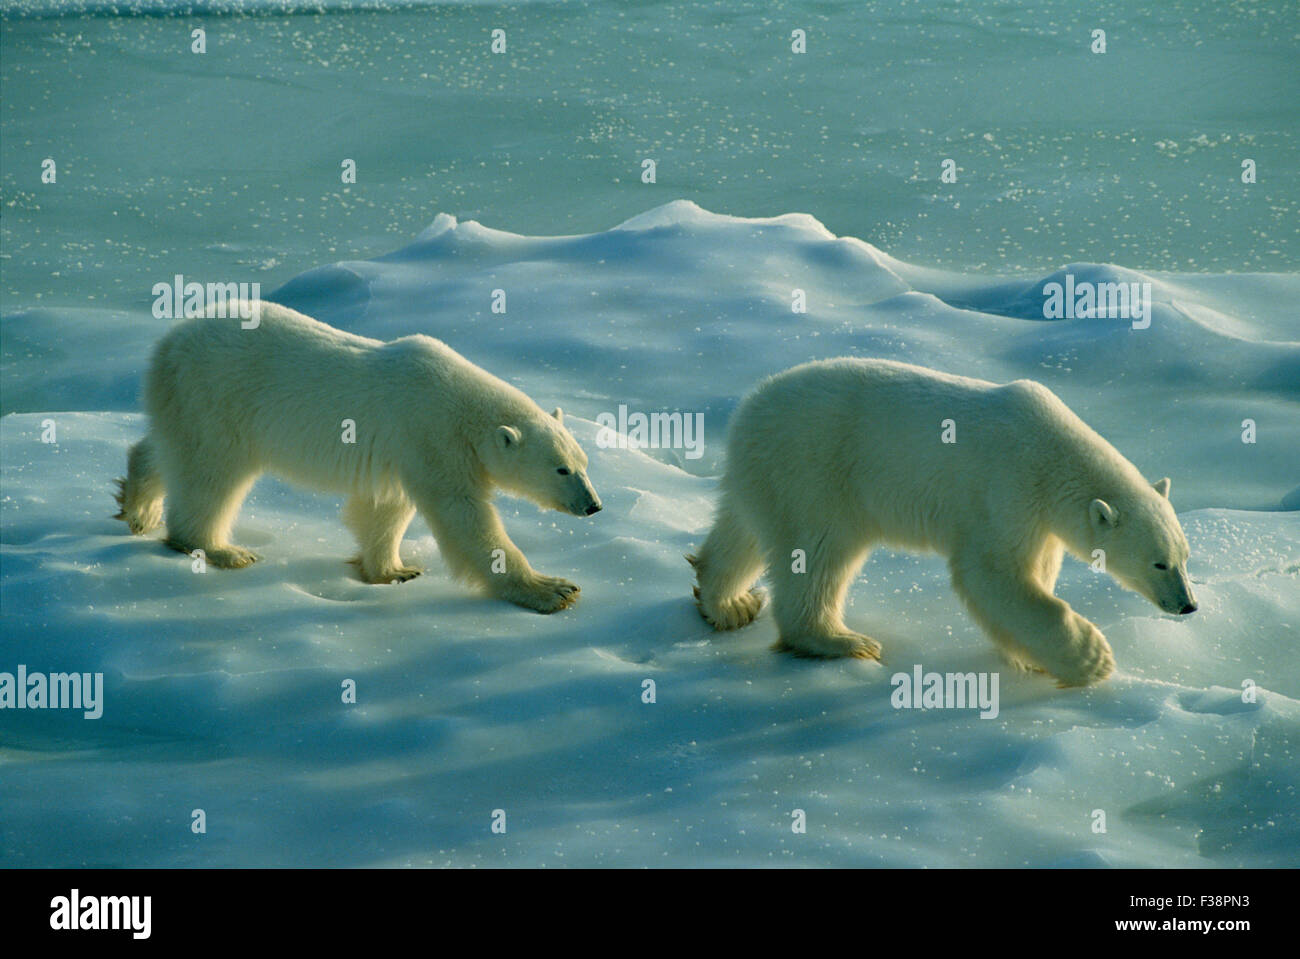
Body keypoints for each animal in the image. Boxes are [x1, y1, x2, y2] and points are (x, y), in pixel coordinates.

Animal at [115, 300, 602, 613]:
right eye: (561, 469)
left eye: (584, 464)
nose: (594, 505)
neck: (462, 406)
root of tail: (169, 342)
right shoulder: (431, 435)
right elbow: (464, 517)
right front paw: (554, 590)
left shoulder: (404, 450)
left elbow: (385, 508)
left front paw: (394, 571)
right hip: (217, 399)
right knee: (210, 474)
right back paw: (220, 549)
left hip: (185, 400)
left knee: (169, 449)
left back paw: (138, 506)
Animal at [688, 358, 1198, 686]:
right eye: (1158, 563)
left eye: (1185, 557)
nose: (1188, 605)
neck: (1051, 453)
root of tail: (747, 410)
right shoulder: (1006, 489)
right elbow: (993, 574)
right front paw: (1091, 658)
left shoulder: (1040, 519)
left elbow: (1033, 573)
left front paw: (1031, 656)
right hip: (814, 470)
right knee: (817, 552)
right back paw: (841, 639)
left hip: (766, 475)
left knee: (741, 532)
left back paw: (729, 604)